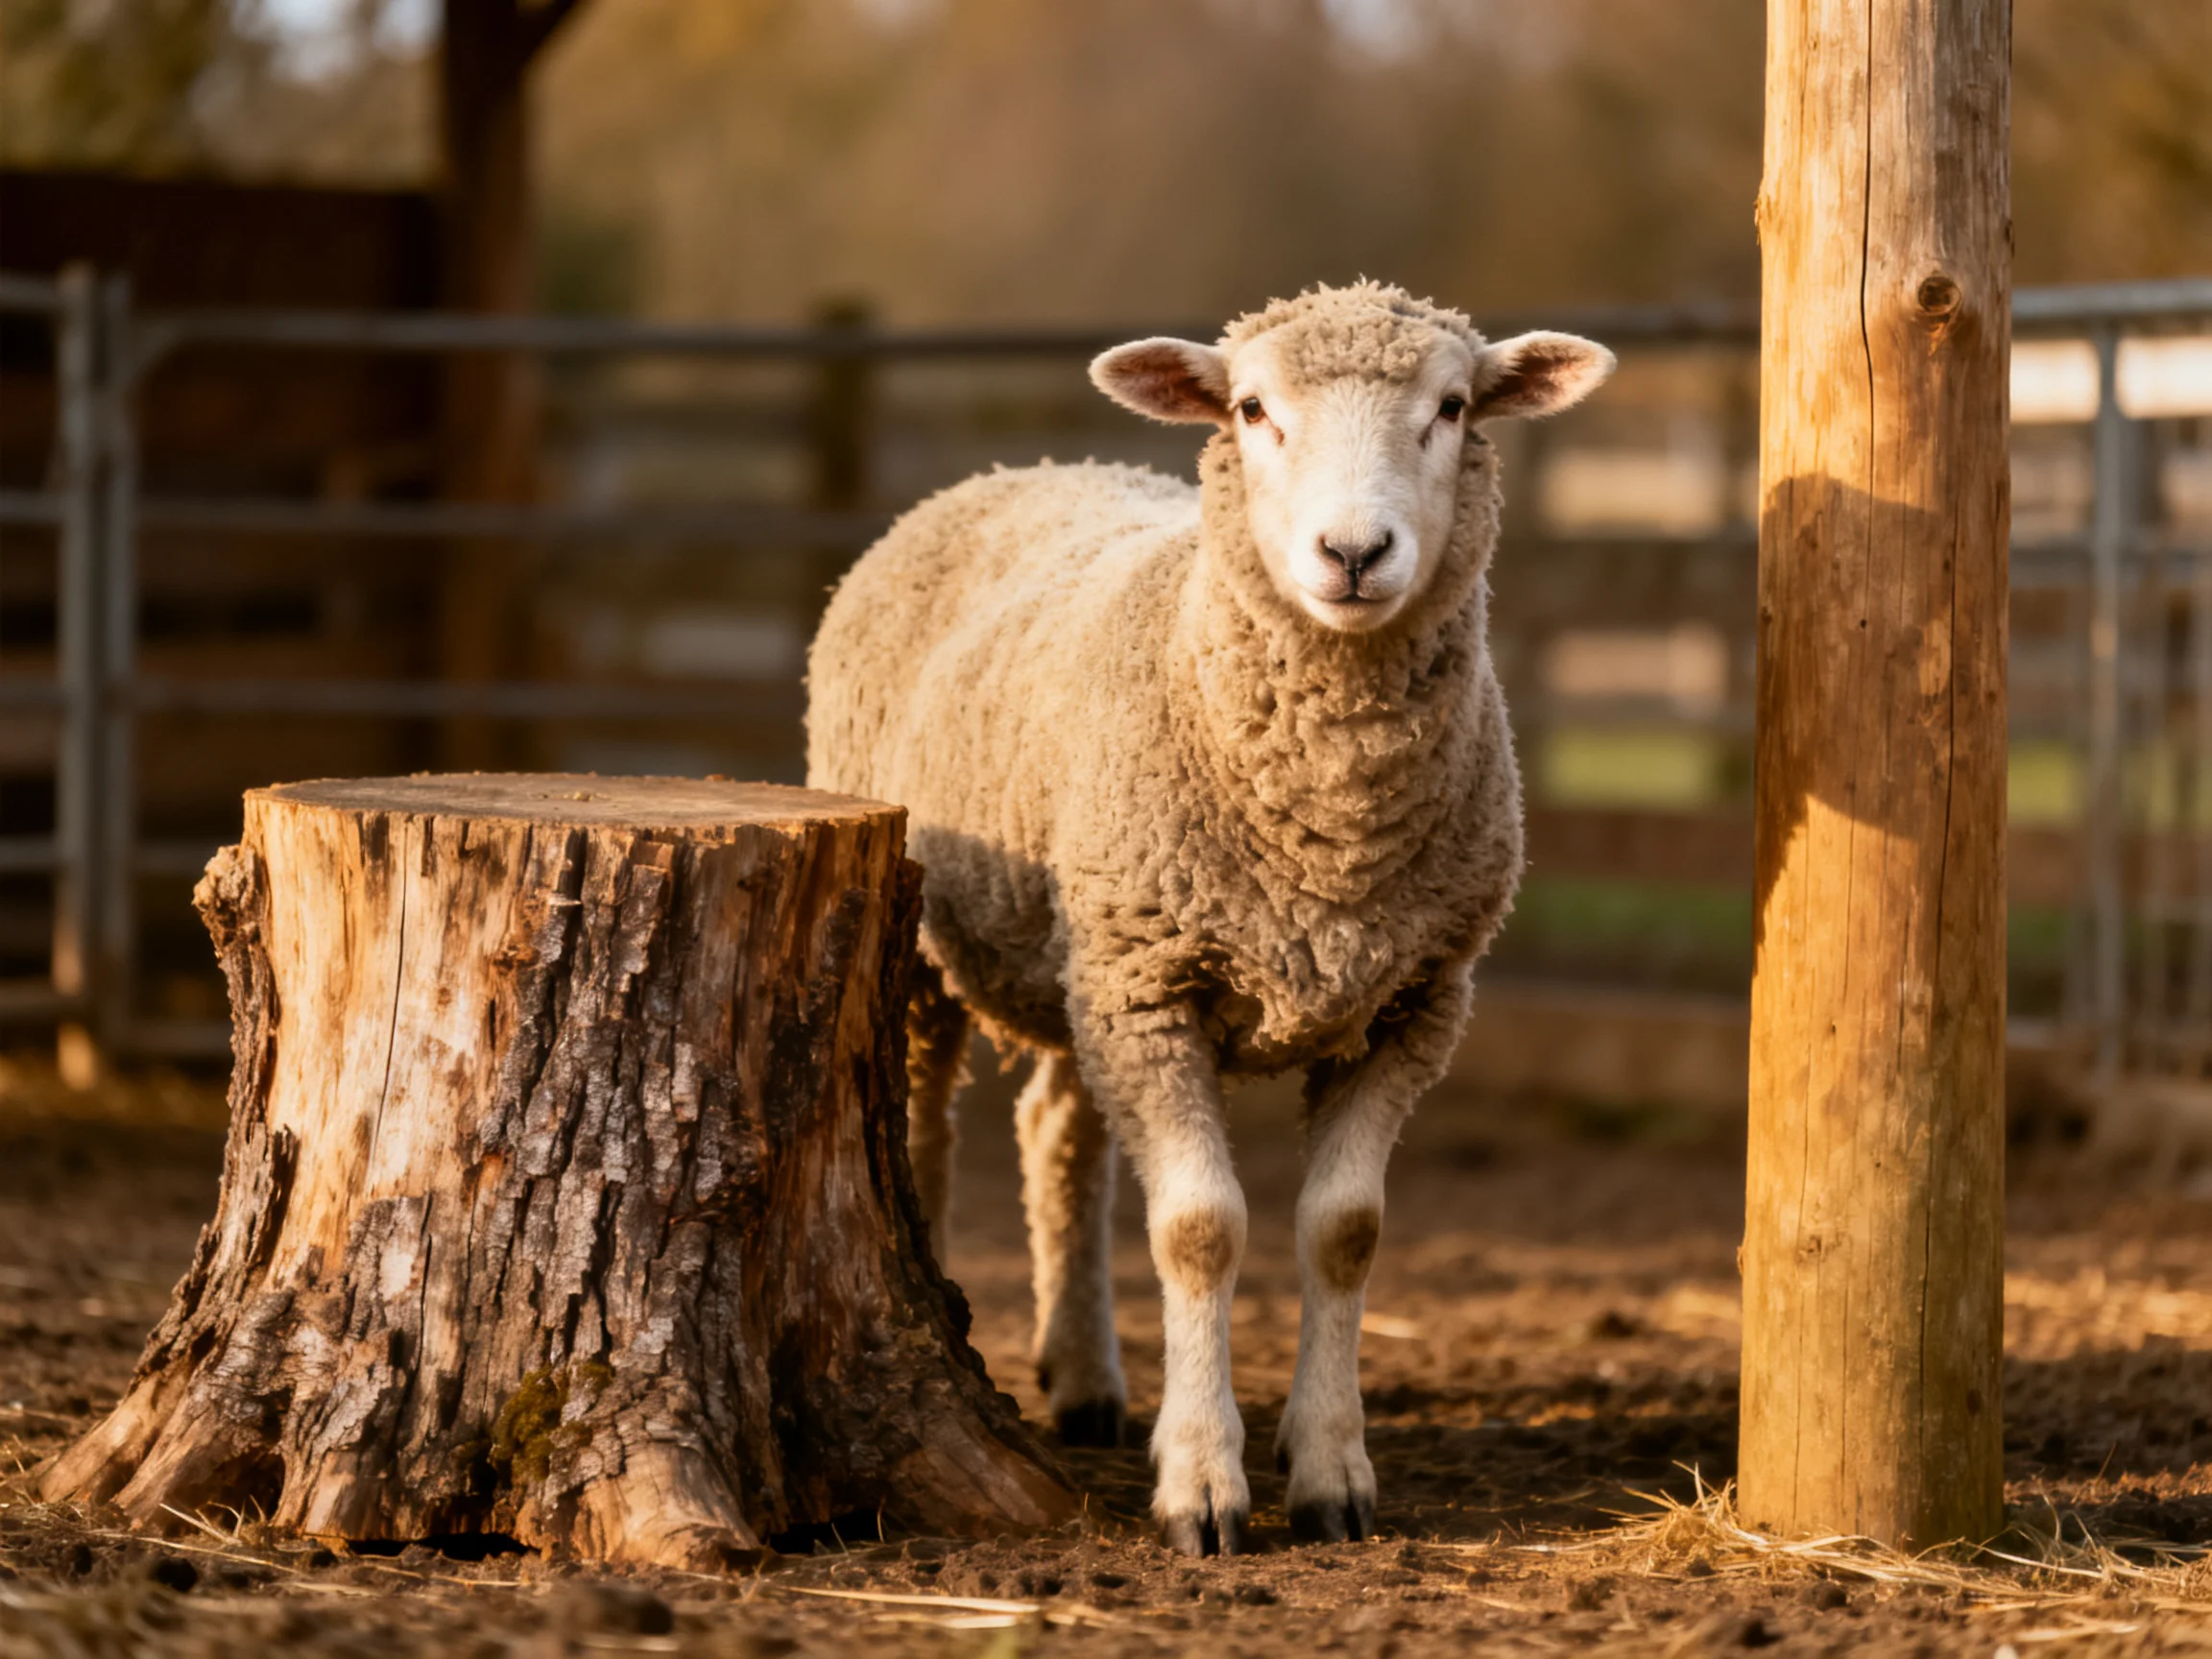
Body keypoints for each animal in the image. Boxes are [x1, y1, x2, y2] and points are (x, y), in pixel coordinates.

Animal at [806, 281, 1614, 1555]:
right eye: (1250, 409)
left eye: (1452, 406)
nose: (1353, 552)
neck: (1330, 829)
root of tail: (1024, 465)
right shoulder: (1156, 985)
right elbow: (1199, 1229)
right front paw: (1202, 1486)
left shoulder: (1410, 1000)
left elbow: (1345, 1229)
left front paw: (1330, 1473)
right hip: (948, 947)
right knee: (922, 1136)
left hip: (1089, 946)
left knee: (1058, 1132)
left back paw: (1085, 1377)